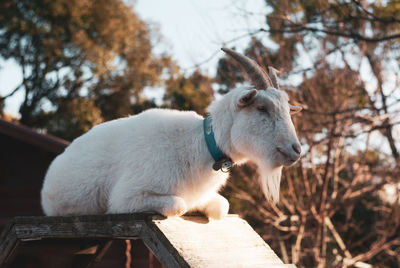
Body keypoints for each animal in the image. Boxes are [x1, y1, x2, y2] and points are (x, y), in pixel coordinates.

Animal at [41, 48, 304, 220]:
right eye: (262, 108)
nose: (296, 150)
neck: (199, 146)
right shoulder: (126, 197)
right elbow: (178, 205)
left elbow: (223, 206)